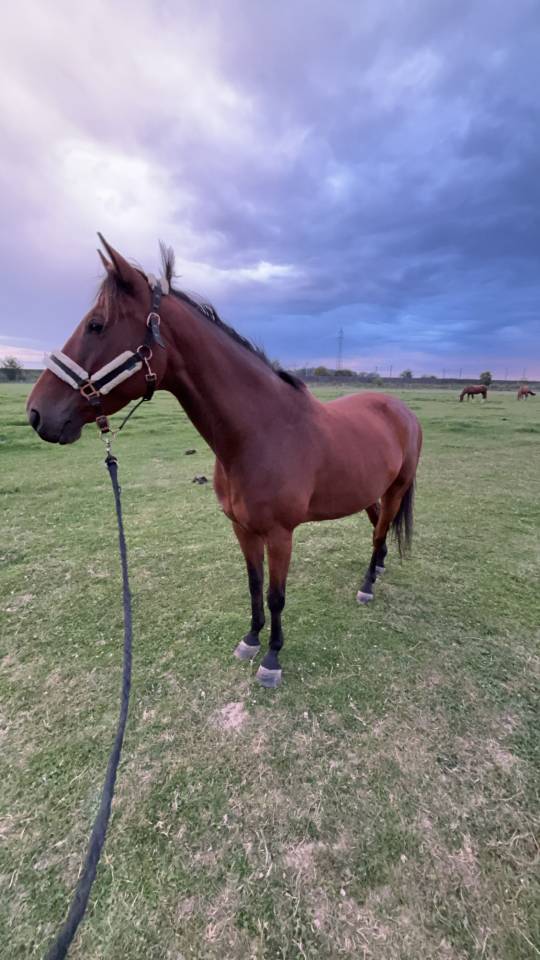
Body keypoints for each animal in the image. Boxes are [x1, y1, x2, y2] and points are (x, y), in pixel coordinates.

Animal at [27, 237, 423, 688]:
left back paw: (368, 584)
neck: (261, 433)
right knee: (377, 526)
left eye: (96, 325)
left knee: (381, 530)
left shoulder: (280, 535)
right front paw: (250, 639)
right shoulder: (242, 528)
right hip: (370, 490)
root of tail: (399, 408)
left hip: (396, 489)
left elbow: (275, 595)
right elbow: (253, 585)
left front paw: (272, 658)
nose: (36, 413)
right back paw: (378, 570)